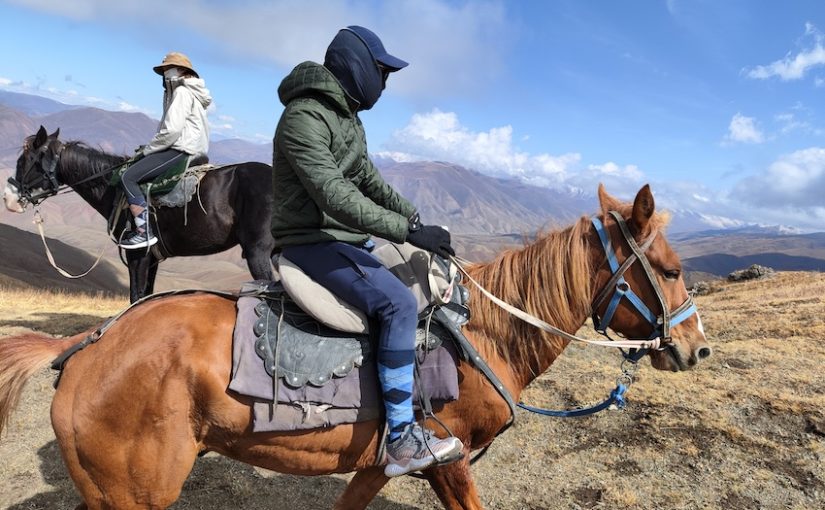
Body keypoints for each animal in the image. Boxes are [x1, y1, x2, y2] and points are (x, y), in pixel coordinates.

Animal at [0, 185, 708, 508]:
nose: (696, 349)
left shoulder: (374, 467)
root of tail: (86, 346)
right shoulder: (449, 462)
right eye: (672, 270)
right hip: (135, 495)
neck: (481, 334)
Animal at [4, 127, 274, 300]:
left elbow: (135, 296)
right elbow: (145, 297)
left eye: (24, 160)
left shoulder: (138, 256)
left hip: (258, 253)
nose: (8, 198)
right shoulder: (152, 258)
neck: (112, 187)